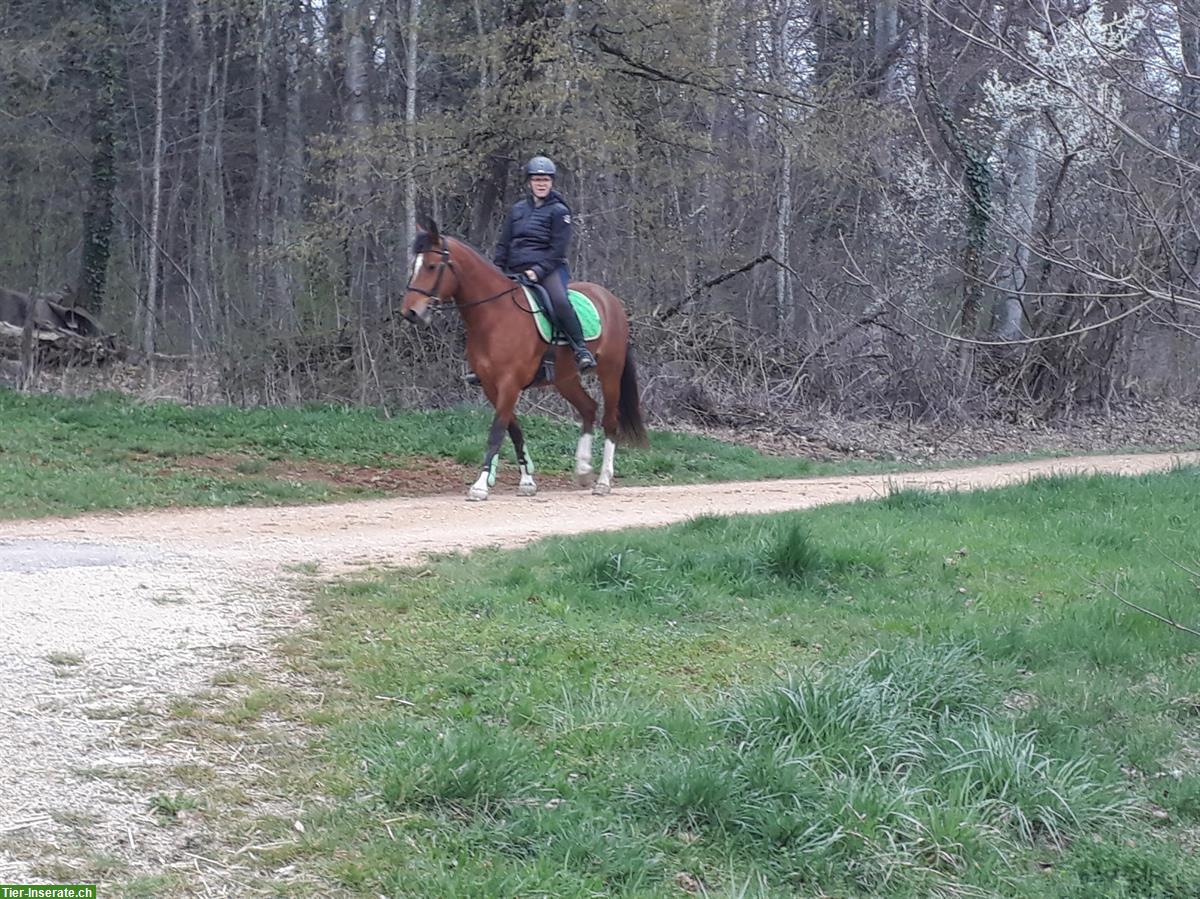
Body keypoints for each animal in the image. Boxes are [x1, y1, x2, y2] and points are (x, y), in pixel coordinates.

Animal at [400, 217, 648, 496]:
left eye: (431, 266)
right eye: (415, 265)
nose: (409, 312)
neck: (495, 315)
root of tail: (611, 300)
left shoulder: (509, 383)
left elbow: (497, 430)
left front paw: (480, 485)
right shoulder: (491, 385)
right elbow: (513, 429)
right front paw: (527, 481)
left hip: (610, 373)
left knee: (609, 421)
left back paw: (603, 481)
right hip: (565, 379)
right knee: (588, 409)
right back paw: (583, 471)